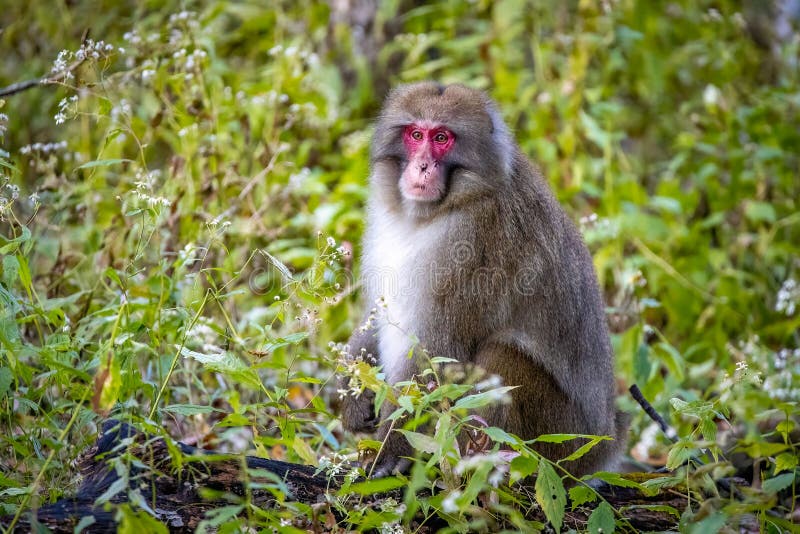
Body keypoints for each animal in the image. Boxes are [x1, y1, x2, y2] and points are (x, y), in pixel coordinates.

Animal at [338, 82, 624, 482]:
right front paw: (353, 388)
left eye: (442, 138)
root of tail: (605, 446)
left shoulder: (472, 243)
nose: (421, 167)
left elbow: (438, 350)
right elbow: (379, 313)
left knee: (500, 357)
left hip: (560, 442)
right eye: (416, 135)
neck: (444, 207)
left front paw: (391, 450)